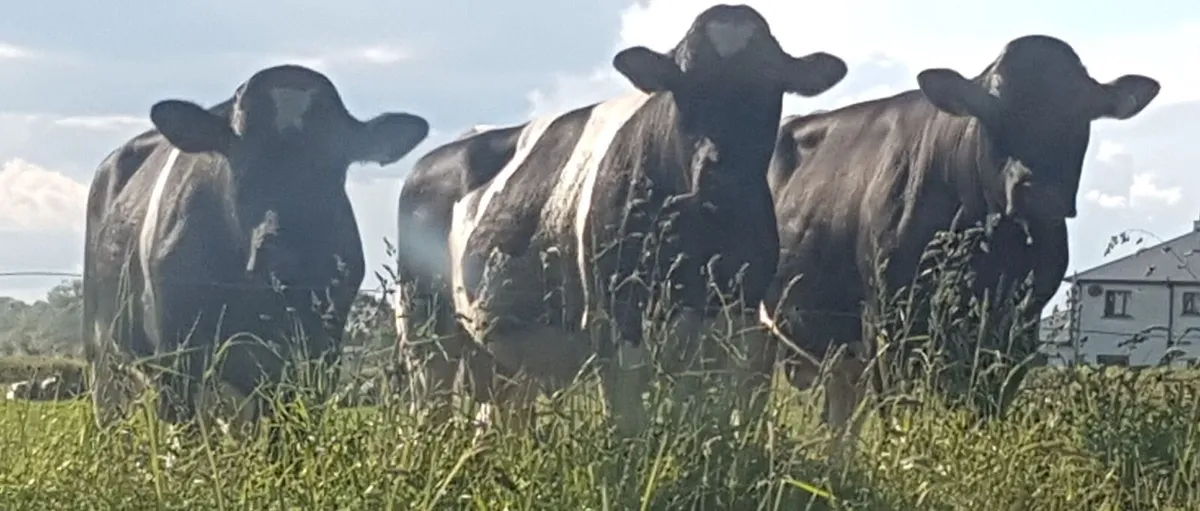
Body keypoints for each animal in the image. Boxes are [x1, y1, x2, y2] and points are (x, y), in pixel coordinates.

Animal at [83, 64, 430, 438]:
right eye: (239, 160)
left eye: (336, 163)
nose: (289, 258)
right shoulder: (177, 355)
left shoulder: (318, 354)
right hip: (103, 355)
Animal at [394, 4, 847, 436]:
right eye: (684, 85)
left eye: (770, 84)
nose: (723, 171)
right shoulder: (617, 324)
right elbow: (630, 425)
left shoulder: (737, 332)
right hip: (424, 328)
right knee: (429, 408)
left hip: (501, 348)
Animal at [760, 35, 1160, 447]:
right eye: (993, 108)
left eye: (1082, 112)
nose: (1041, 194)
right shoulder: (888, 321)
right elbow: (897, 408)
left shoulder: (1017, 329)